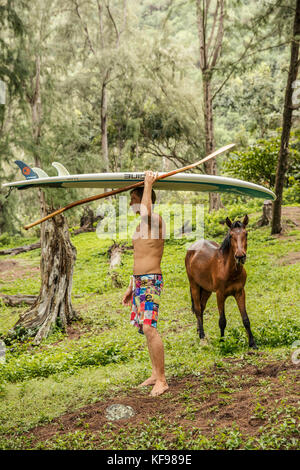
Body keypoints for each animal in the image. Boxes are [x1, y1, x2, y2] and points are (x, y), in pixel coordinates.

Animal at [186, 215, 256, 346]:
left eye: (246, 233)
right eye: (231, 235)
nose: (240, 256)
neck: (229, 270)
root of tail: (193, 247)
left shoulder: (240, 293)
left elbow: (246, 319)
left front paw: (252, 343)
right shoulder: (220, 294)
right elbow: (222, 320)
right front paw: (223, 342)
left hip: (206, 290)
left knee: (201, 308)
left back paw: (199, 330)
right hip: (194, 286)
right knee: (198, 309)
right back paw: (202, 336)